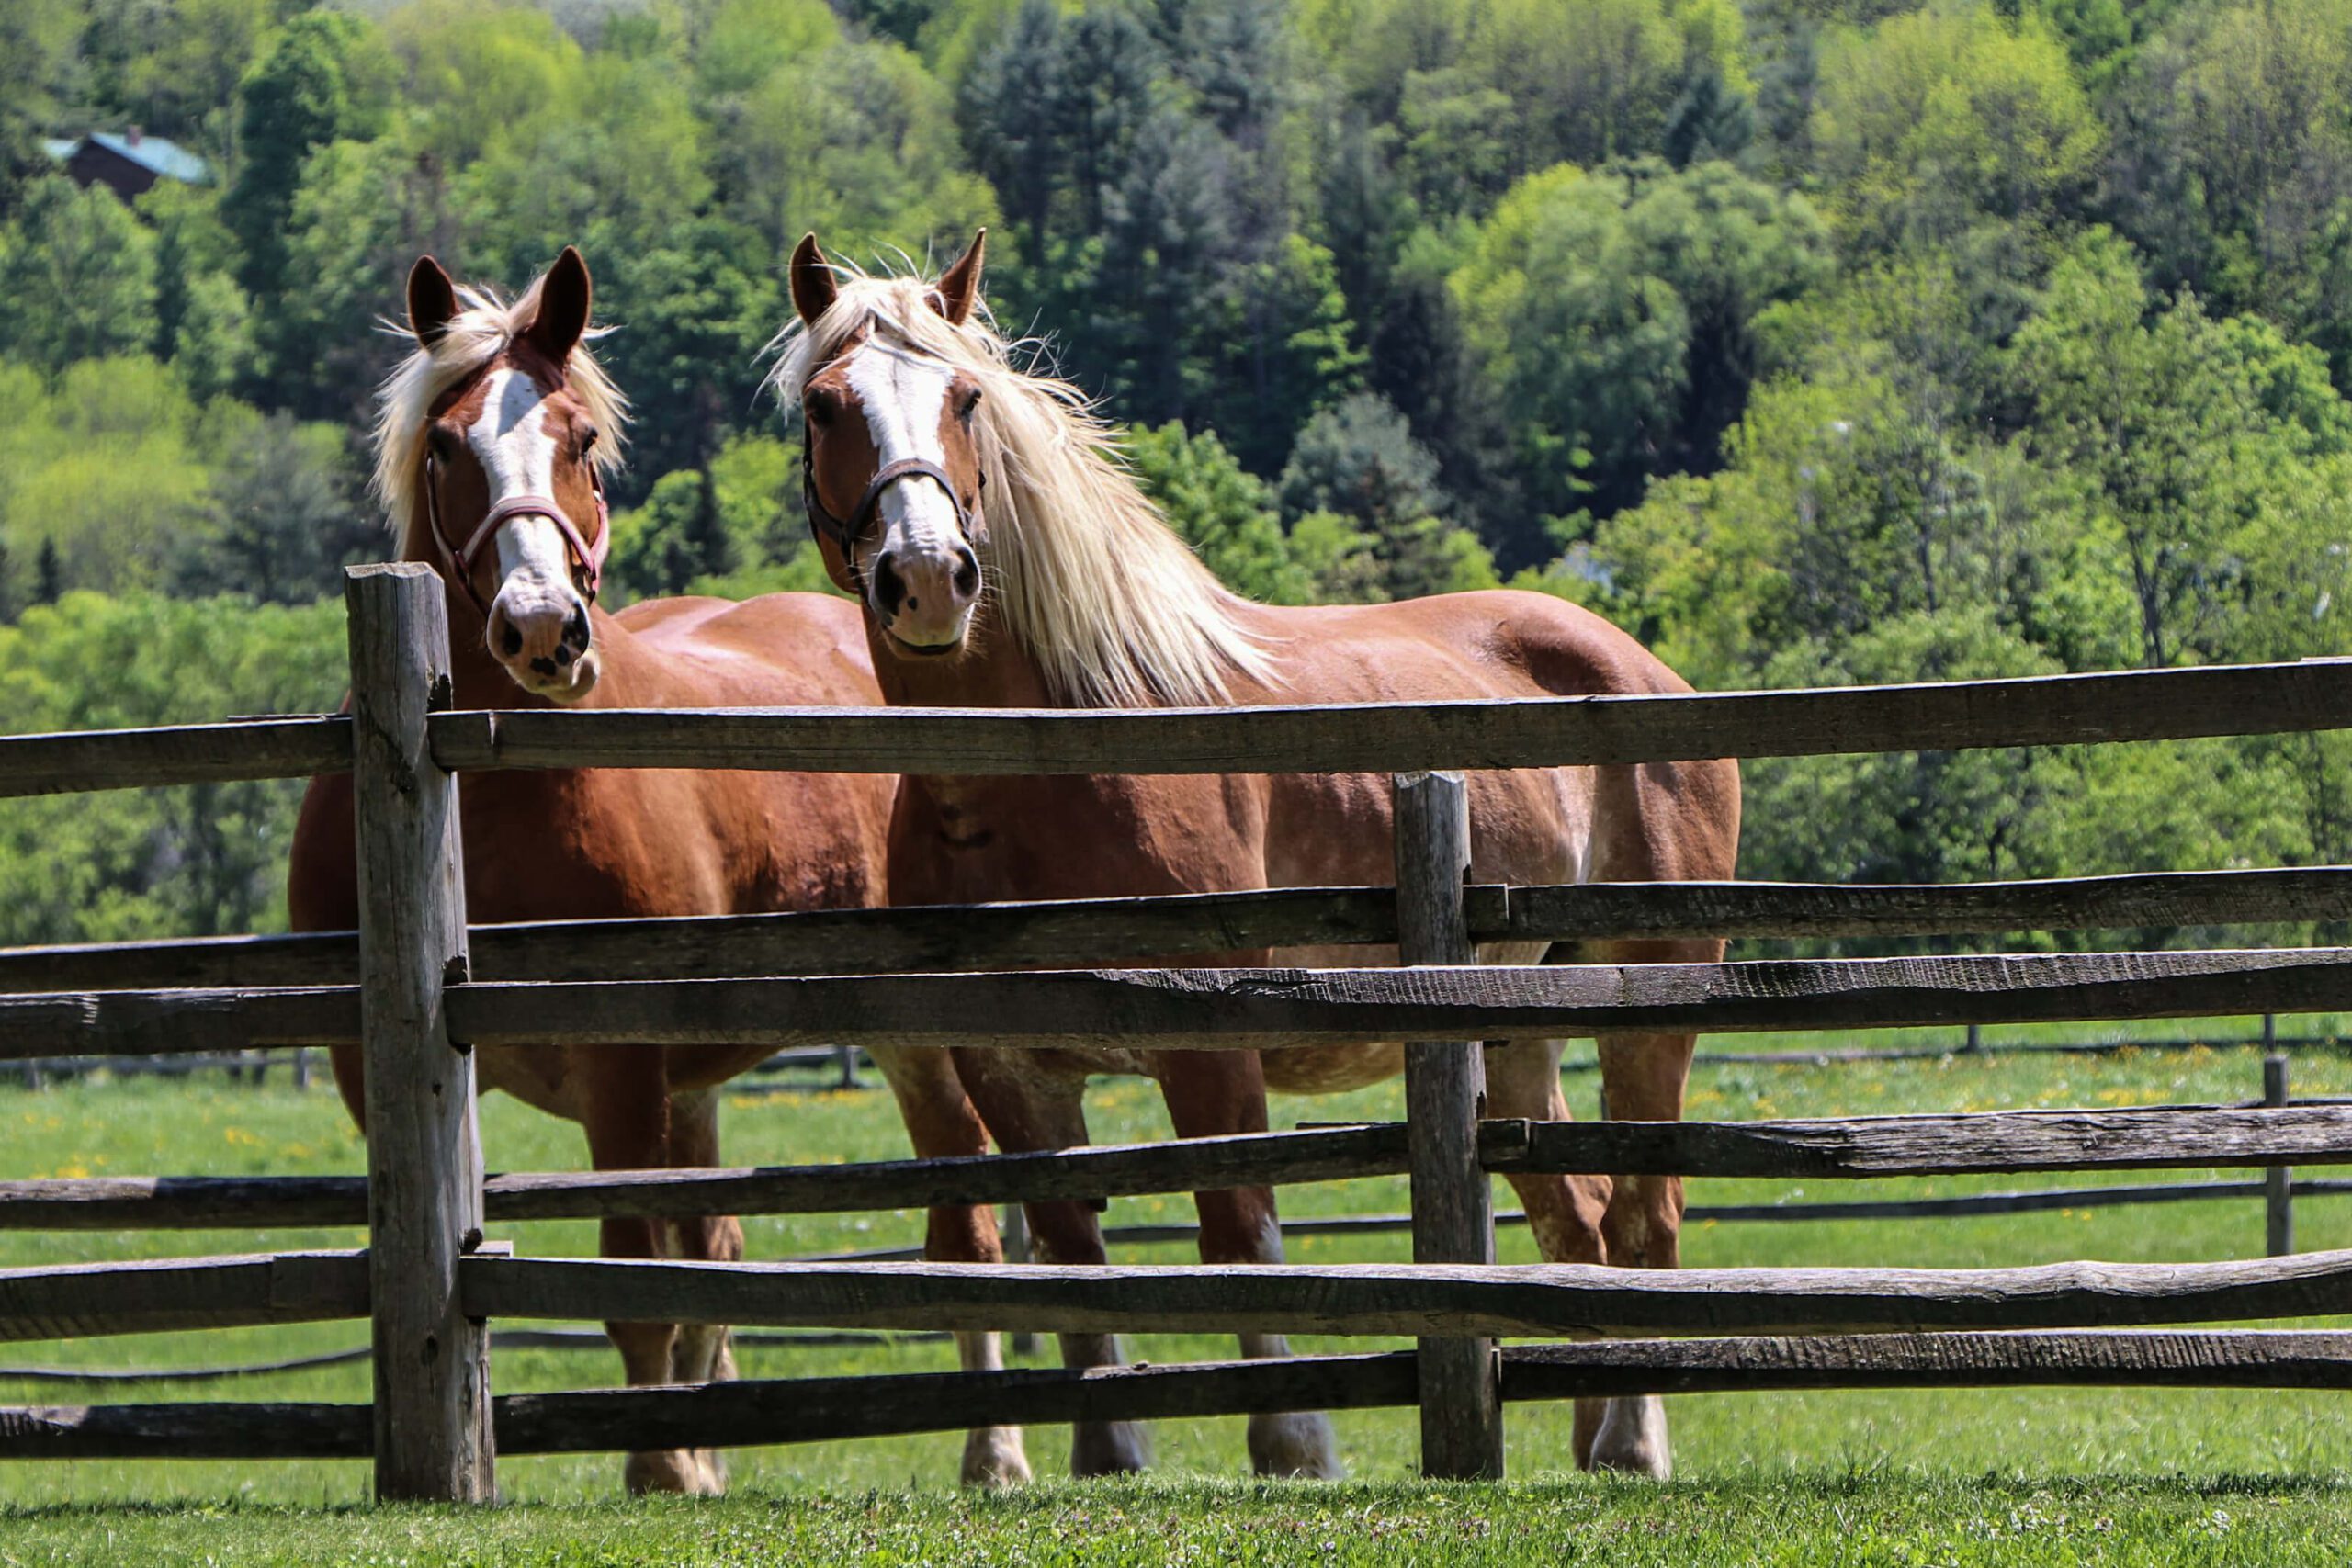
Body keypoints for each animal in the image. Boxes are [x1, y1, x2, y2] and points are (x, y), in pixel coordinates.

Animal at [287, 248, 1027, 1495]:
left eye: (580, 439)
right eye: (446, 445)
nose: (543, 629)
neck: (474, 789)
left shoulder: (622, 1074)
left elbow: (633, 1282)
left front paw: (658, 1466)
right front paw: (679, 1454)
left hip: (910, 1044)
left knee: (961, 1224)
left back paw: (994, 1448)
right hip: (699, 1087)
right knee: (712, 1243)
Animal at [770, 231, 1741, 1482]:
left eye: (966, 398)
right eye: (825, 405)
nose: (929, 577)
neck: (1043, 762)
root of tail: (1637, 664)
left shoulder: (1212, 1051)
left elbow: (1238, 1231)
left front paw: (1293, 1441)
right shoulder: (1011, 1070)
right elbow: (1070, 1246)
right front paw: (1109, 1450)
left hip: (1647, 1001)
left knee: (1643, 1217)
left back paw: (1629, 1438)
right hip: (1518, 1030)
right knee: (1572, 1219)